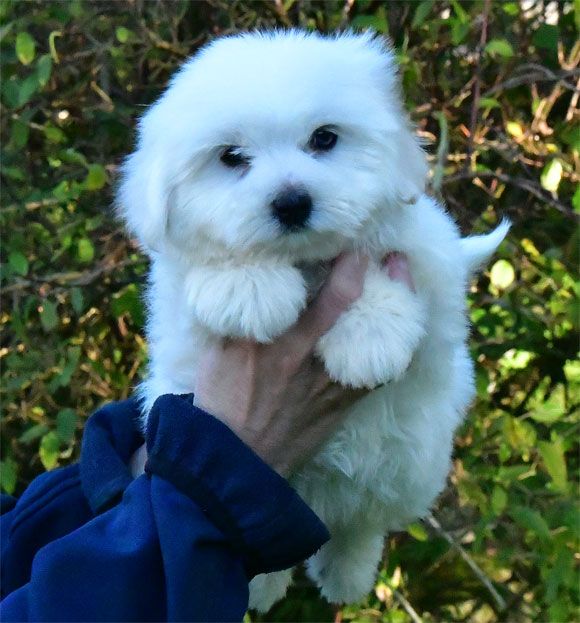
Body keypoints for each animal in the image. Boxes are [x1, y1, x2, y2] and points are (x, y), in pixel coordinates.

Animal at [119, 31, 508, 612]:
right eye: (231, 157)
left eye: (325, 139)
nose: (291, 202)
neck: (305, 260)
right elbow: (216, 265)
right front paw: (248, 287)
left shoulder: (429, 262)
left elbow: (384, 265)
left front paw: (368, 338)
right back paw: (264, 586)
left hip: (410, 466)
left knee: (363, 523)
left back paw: (347, 573)